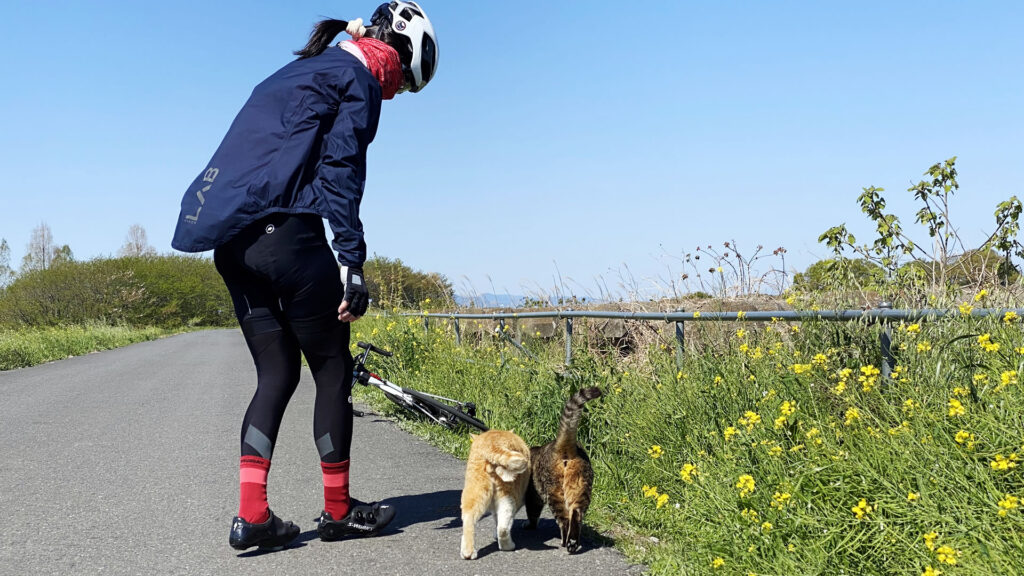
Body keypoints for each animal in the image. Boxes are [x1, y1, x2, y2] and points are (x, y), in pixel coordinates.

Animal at [460, 426, 532, 557]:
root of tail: (493, 445)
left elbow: (495, 519)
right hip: (507, 496)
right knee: (503, 527)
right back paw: (507, 546)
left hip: (474, 493)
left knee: (468, 520)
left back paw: (468, 552)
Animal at [528, 385, 598, 553]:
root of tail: (560, 447)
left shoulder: (532, 493)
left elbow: (532, 510)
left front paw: (530, 525)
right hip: (581, 483)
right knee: (577, 513)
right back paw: (573, 541)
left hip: (553, 488)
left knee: (565, 518)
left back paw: (566, 540)